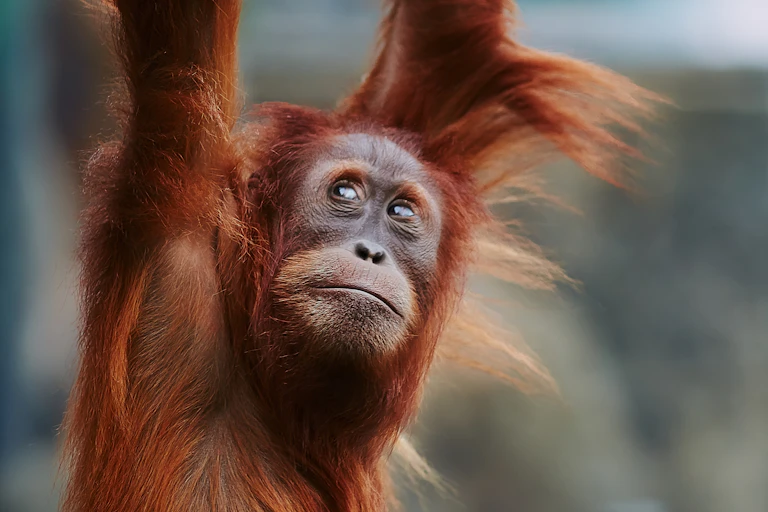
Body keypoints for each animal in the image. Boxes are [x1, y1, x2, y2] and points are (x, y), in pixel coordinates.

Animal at [62, 1, 656, 511]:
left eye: (401, 211)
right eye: (345, 193)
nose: (371, 252)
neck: (264, 383)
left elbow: (431, 44)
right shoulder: (183, 200)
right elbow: (183, 42)